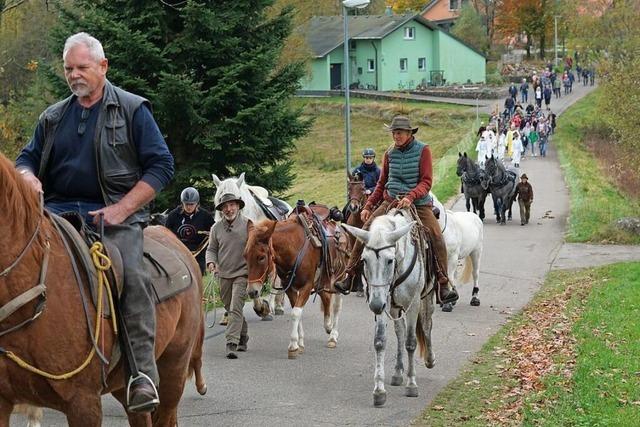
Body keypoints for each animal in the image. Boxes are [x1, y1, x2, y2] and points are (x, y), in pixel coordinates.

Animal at [211, 172, 292, 316]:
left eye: (237, 198)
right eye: (220, 198)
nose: (227, 214)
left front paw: (262, 307)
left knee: (274, 279)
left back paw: (276, 306)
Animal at [242, 216, 348, 360]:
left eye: (261, 257)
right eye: (245, 255)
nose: (252, 291)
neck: (294, 250)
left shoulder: (306, 287)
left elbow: (296, 313)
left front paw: (293, 346)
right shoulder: (290, 289)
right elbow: (297, 312)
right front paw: (300, 343)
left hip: (338, 279)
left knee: (336, 306)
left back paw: (333, 336)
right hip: (320, 281)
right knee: (325, 297)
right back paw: (328, 326)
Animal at [342, 211, 438, 408]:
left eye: (389, 260)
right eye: (364, 260)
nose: (375, 305)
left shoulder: (413, 304)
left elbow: (411, 342)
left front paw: (411, 384)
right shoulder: (383, 303)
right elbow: (380, 341)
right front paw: (379, 390)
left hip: (426, 298)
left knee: (426, 325)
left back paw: (430, 359)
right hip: (393, 307)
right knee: (400, 331)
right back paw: (397, 372)